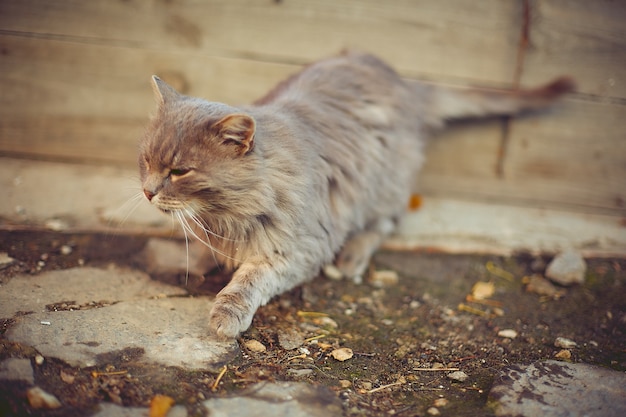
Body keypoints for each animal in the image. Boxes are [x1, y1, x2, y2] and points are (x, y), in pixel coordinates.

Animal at [139, 50, 572, 340]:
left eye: (179, 171)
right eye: (146, 160)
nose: (146, 192)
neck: (224, 216)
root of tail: (402, 80)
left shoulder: (299, 249)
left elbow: (249, 279)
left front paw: (227, 312)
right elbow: (201, 249)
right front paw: (181, 260)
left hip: (383, 187)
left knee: (384, 223)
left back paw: (352, 258)